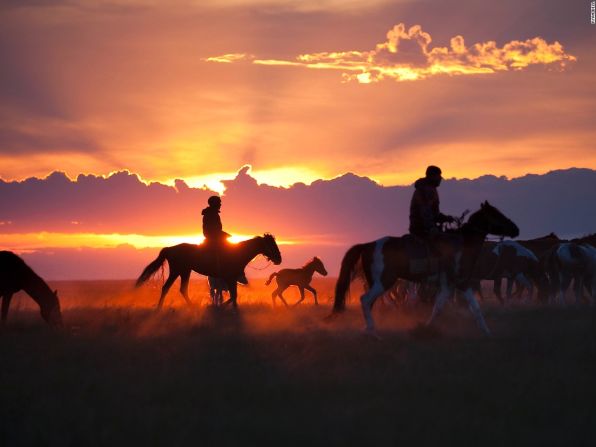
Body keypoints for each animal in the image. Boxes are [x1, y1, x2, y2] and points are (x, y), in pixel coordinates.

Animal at [137, 233, 282, 310]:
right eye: (271, 244)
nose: (279, 259)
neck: (238, 253)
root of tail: (170, 248)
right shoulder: (229, 278)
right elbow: (232, 296)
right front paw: (222, 307)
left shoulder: (231, 279)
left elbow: (233, 296)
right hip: (176, 271)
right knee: (166, 287)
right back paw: (159, 309)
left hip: (185, 271)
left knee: (182, 289)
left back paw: (191, 307)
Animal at [328, 202, 520, 336]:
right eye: (496, 214)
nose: (516, 229)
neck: (462, 245)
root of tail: (369, 244)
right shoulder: (460, 282)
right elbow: (462, 307)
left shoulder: (452, 284)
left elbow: (449, 307)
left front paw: (485, 331)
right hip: (383, 281)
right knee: (366, 300)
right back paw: (371, 330)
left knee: (374, 301)